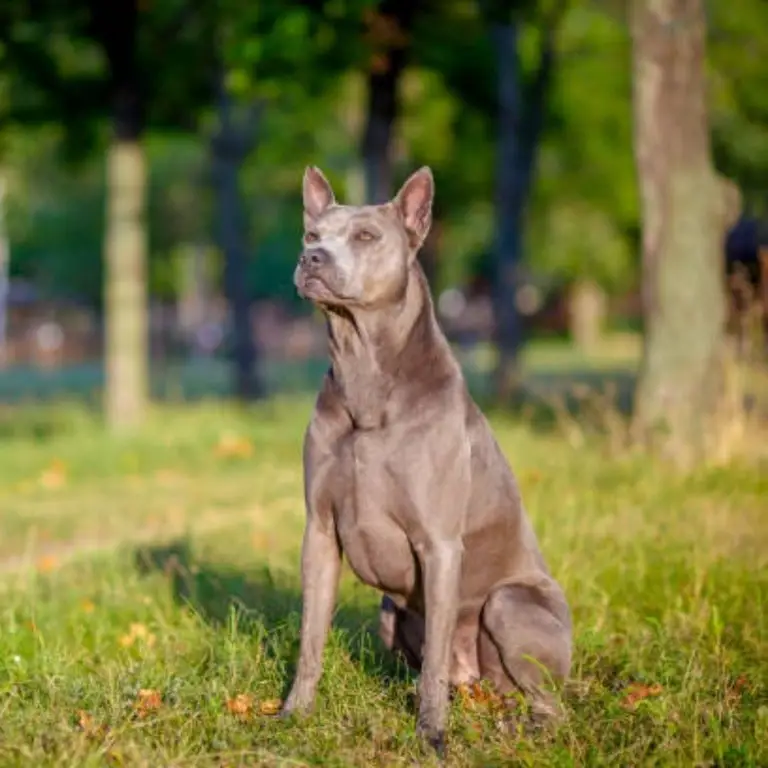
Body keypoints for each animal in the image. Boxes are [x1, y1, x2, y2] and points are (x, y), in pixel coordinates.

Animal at [282, 165, 568, 752]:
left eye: (366, 236)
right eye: (311, 234)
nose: (311, 259)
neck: (365, 373)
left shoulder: (438, 545)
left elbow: (434, 660)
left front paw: (431, 735)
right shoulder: (319, 532)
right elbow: (310, 639)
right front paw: (295, 715)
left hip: (510, 604)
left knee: (548, 702)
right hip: (391, 613)